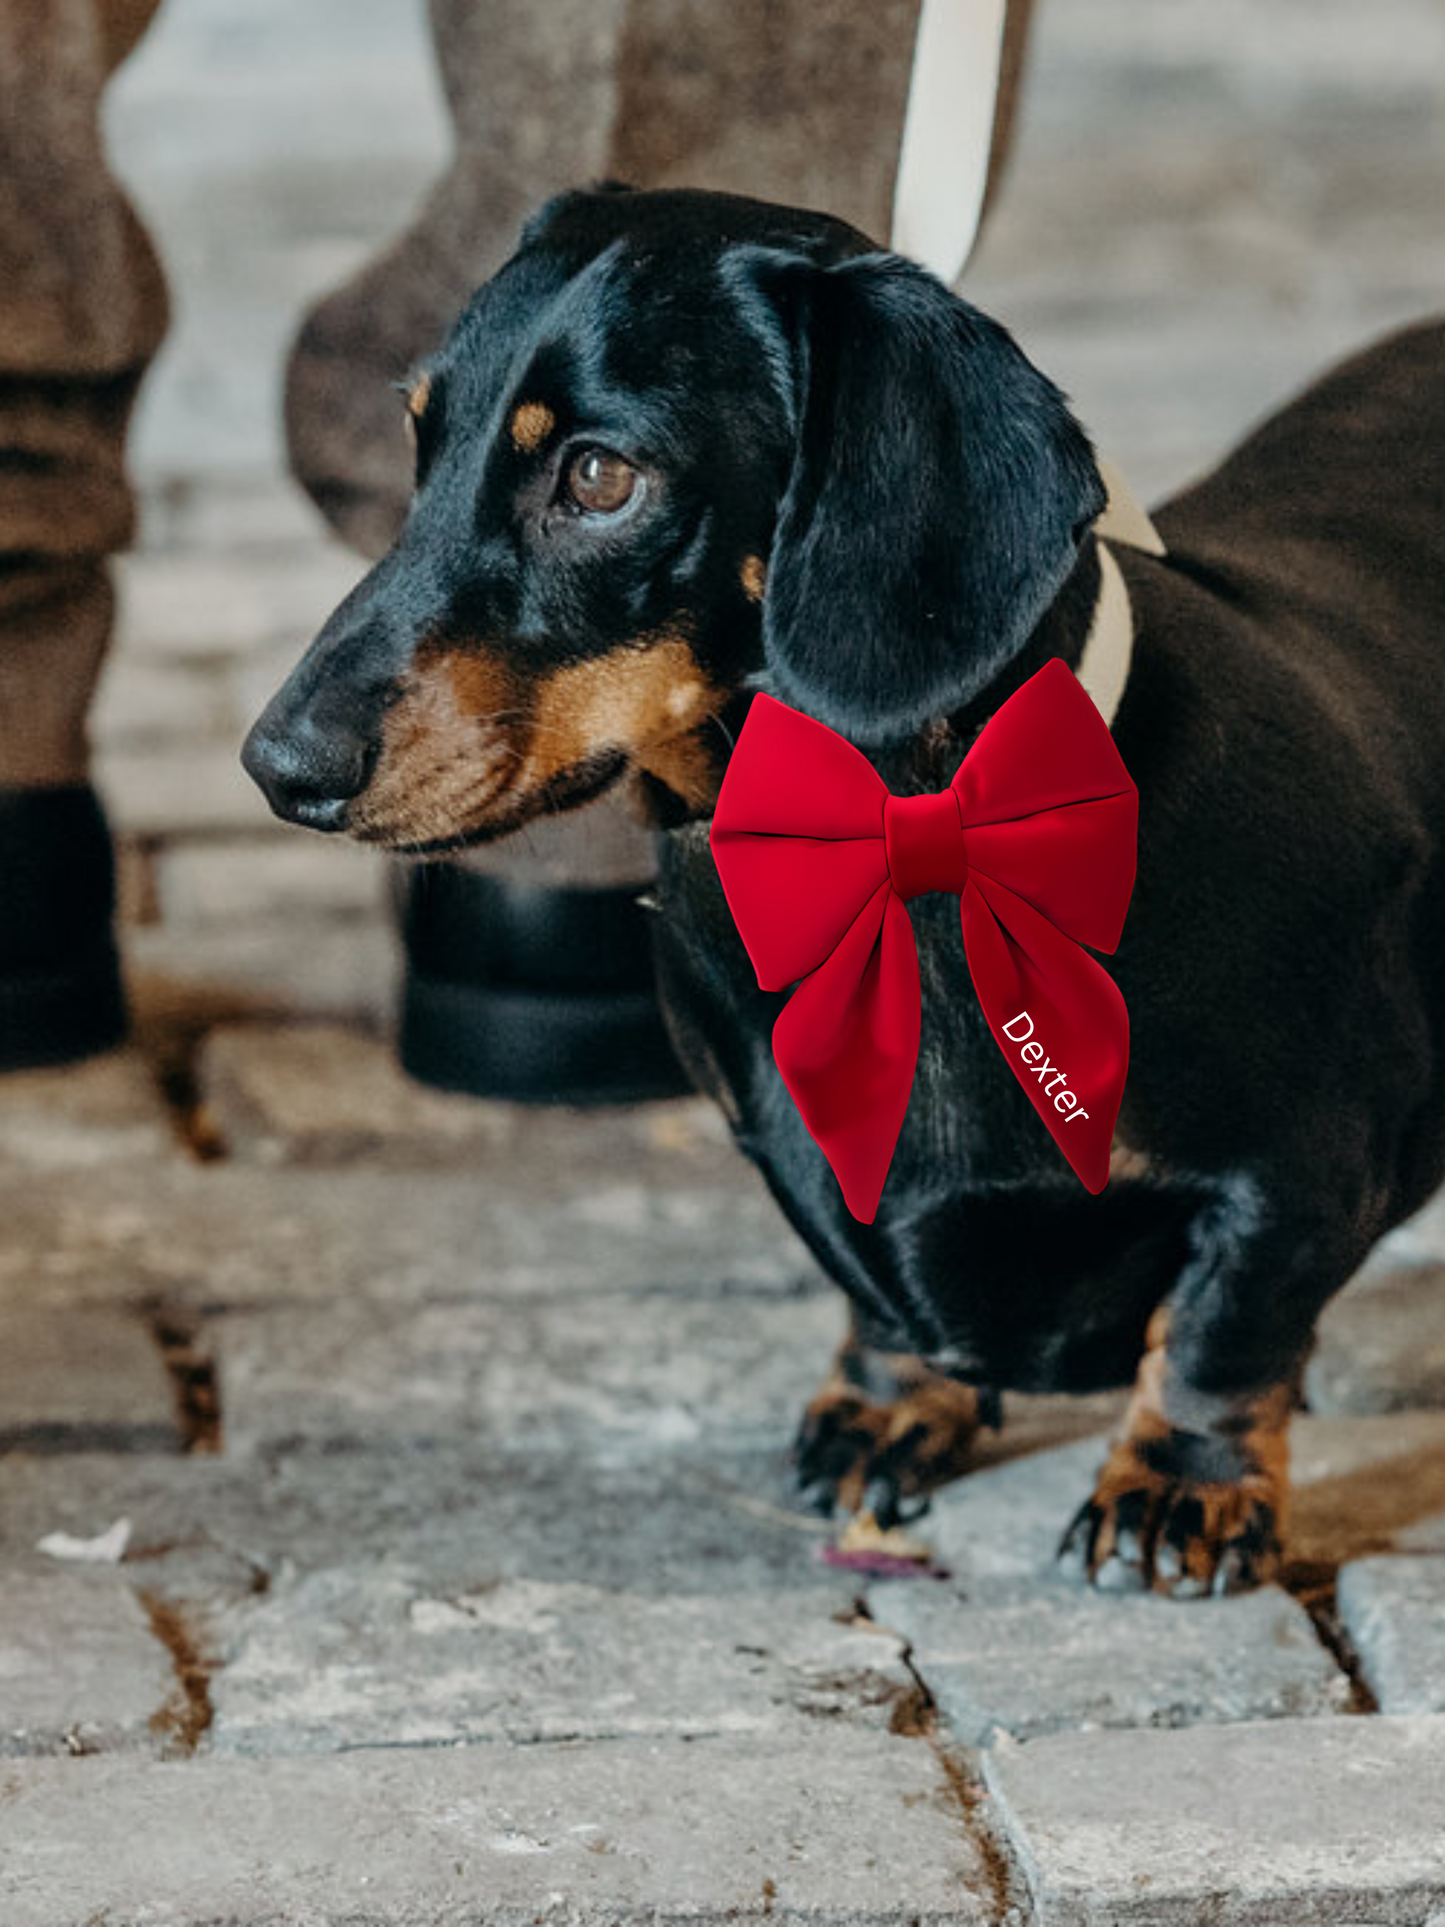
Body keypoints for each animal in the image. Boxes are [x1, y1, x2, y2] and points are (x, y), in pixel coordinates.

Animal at [243, 184, 1445, 1595]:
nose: (278, 765)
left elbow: (1220, 1330)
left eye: (596, 476)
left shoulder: (1298, 1172)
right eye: (419, 438)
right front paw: (888, 1404)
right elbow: (877, 1296)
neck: (906, 871)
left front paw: (1176, 1486)